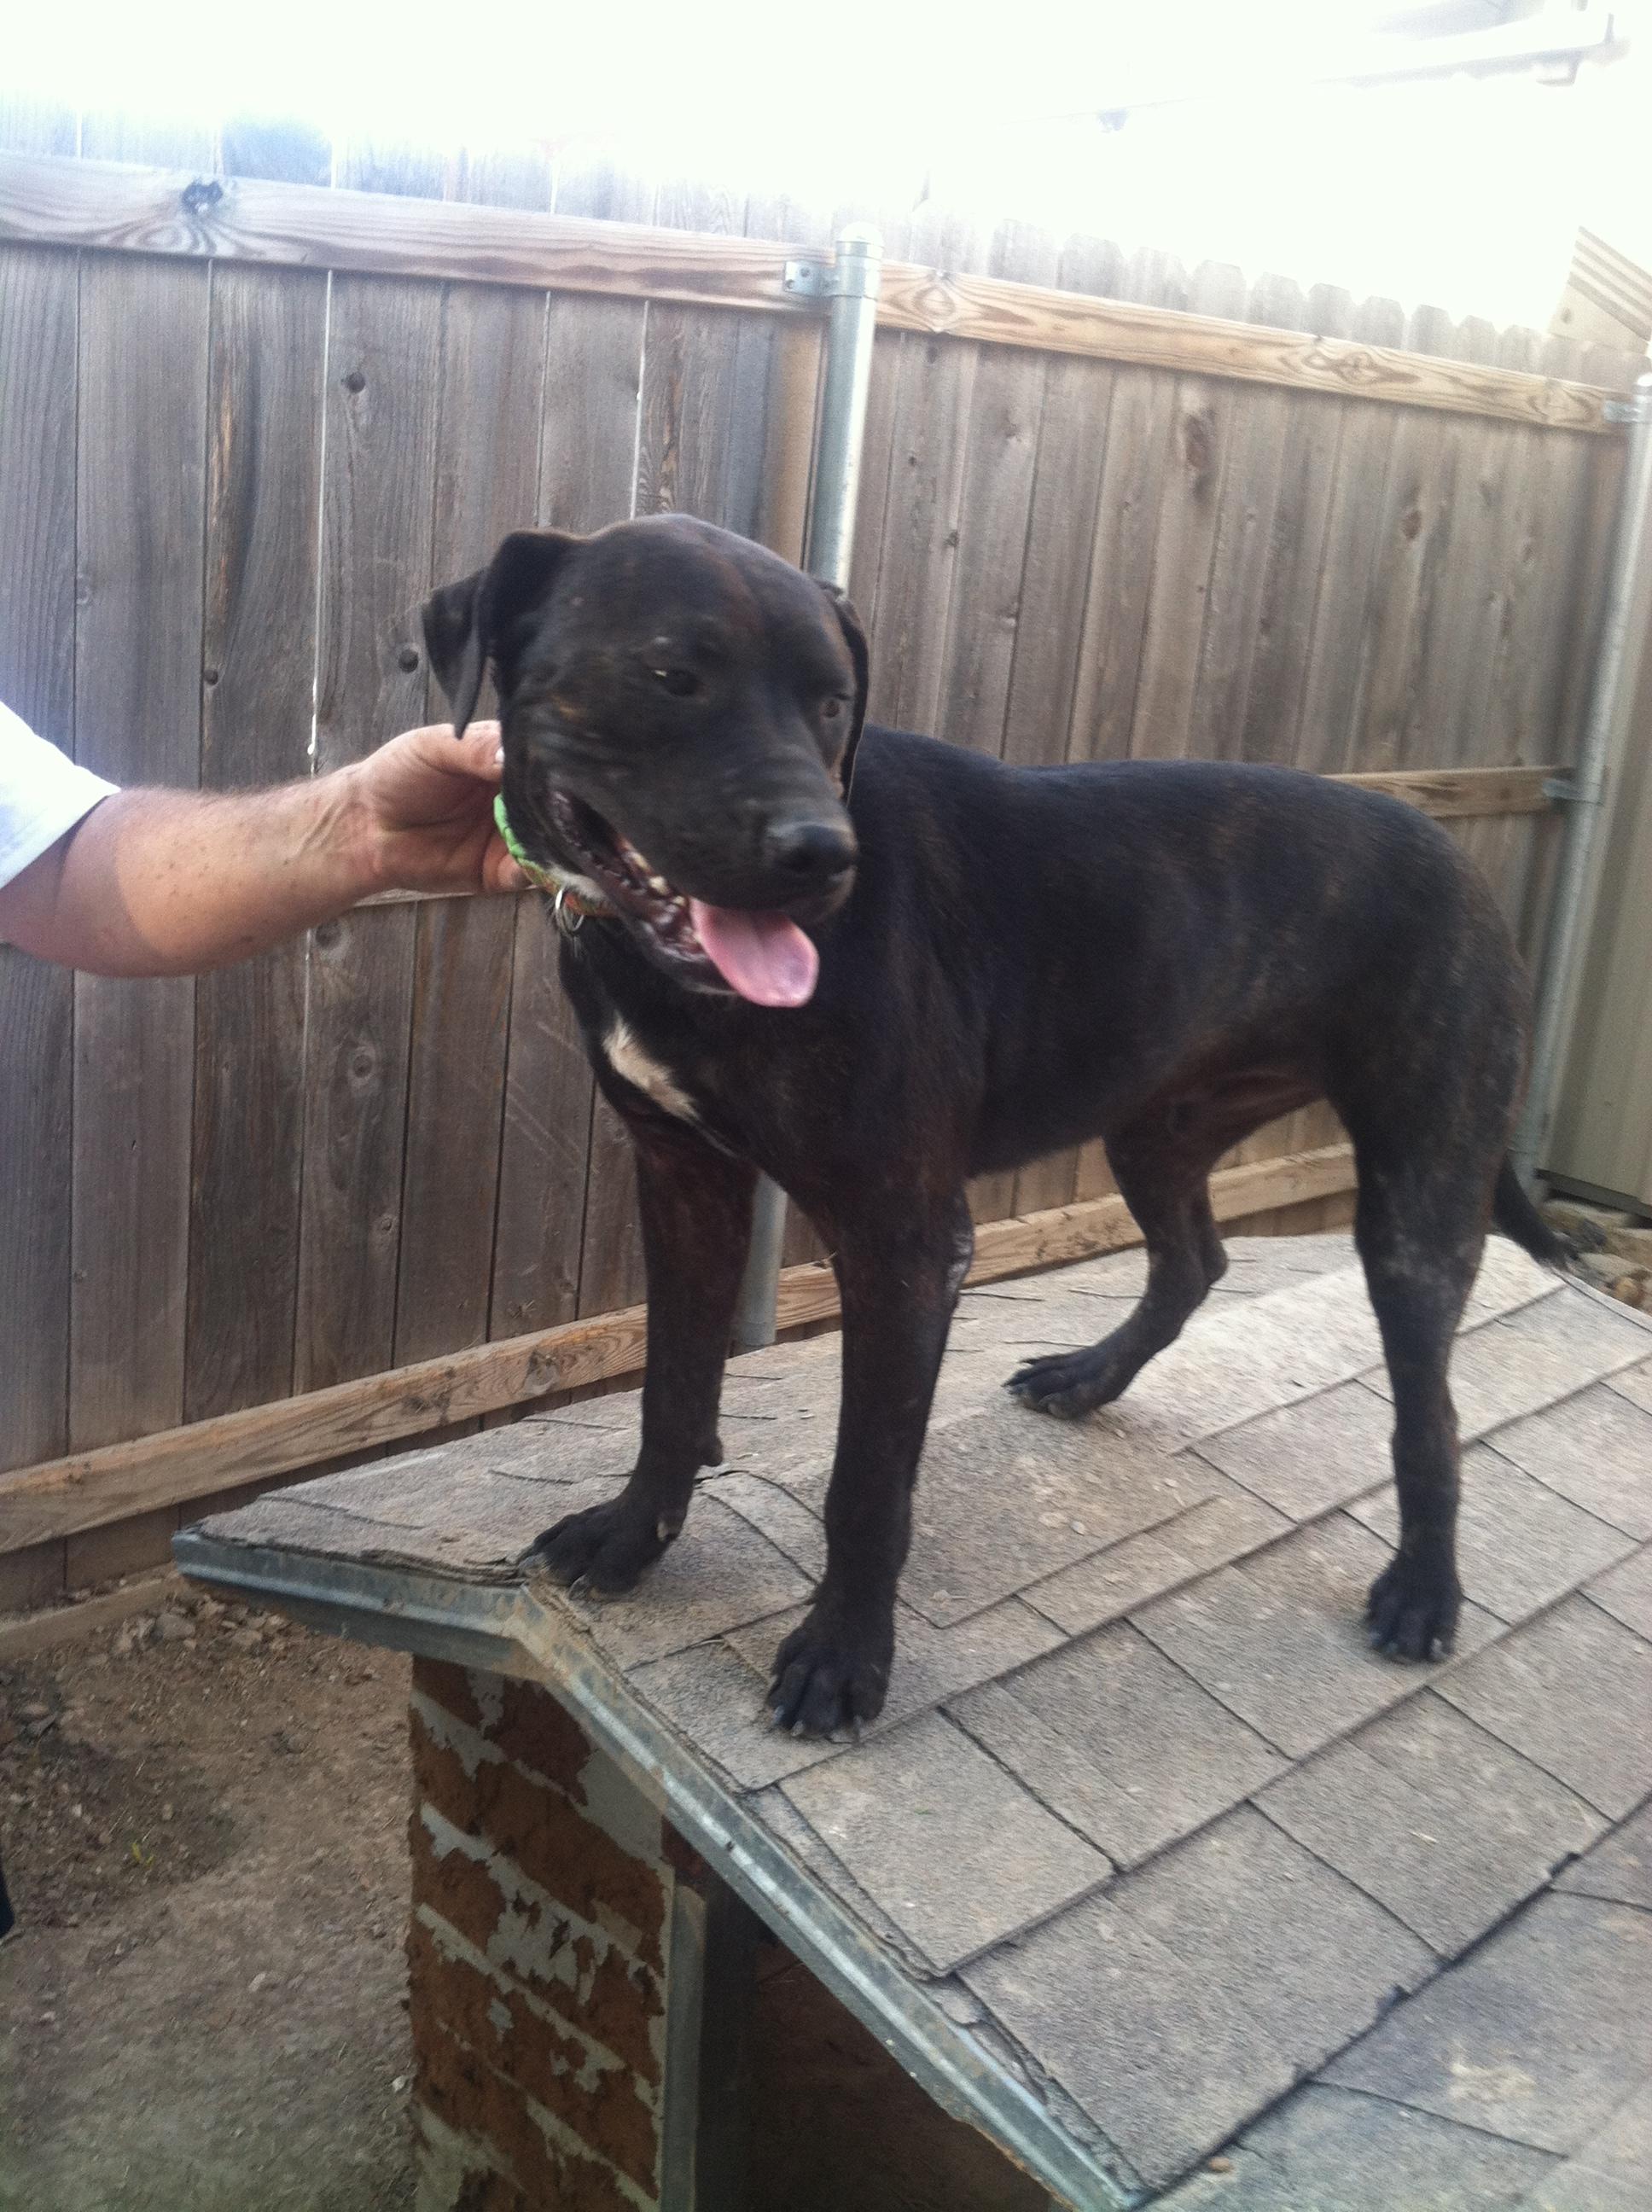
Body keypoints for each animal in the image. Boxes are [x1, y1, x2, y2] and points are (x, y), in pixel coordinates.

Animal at [427, 521, 1565, 1743]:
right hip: (1158, 1130)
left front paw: (843, 1656)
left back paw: (1424, 1587)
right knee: (1194, 1259)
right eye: (670, 674)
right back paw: (1089, 1378)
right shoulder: (682, 1177)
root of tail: (1456, 854)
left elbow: (866, 1480)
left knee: (1427, 1411)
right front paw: (634, 1536)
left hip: (1416, 1196)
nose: (823, 854)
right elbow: (672, 1388)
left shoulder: (905, 1241)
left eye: (834, 702)